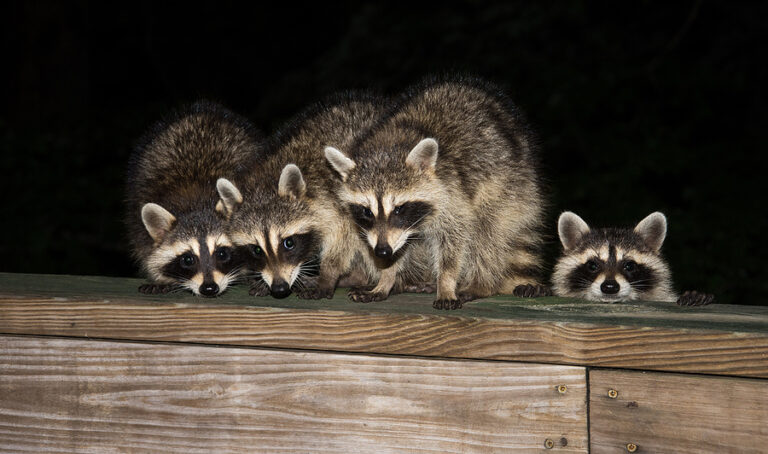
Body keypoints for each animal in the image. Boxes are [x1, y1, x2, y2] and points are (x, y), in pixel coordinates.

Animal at [126, 101, 263, 297]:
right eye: (188, 259)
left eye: (222, 253)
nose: (209, 288)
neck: (197, 201)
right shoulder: (139, 218)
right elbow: (146, 251)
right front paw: (160, 278)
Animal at [227, 92, 390, 299]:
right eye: (256, 250)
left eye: (288, 243)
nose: (279, 288)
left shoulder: (339, 201)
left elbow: (344, 238)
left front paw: (328, 275)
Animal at [324, 77, 546, 310]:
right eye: (367, 211)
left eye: (399, 209)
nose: (382, 252)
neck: (390, 143)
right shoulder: (396, 232)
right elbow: (399, 249)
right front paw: (386, 279)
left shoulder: (452, 193)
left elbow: (455, 240)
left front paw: (446, 283)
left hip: (510, 188)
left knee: (489, 233)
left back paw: (480, 283)